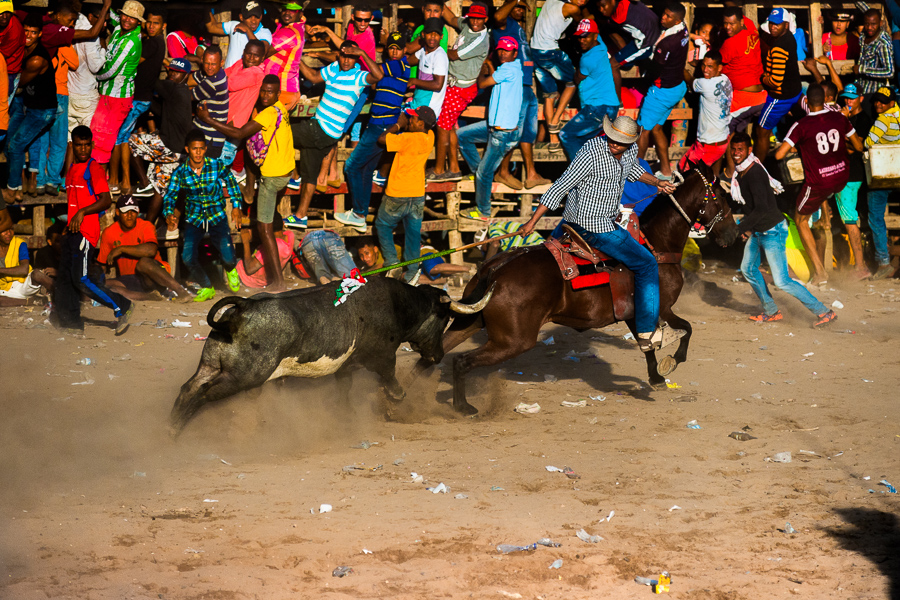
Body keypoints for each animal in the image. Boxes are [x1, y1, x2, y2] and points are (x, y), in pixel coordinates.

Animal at [169, 276, 492, 432]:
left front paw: (347, 416)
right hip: (244, 377)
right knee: (203, 393)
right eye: (444, 319)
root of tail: (244, 307)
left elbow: (345, 390)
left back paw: (171, 428)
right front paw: (393, 401)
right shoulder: (383, 356)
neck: (397, 304)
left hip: (211, 365)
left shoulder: (346, 367)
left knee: (188, 387)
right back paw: (178, 430)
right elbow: (391, 381)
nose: (438, 356)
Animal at [418, 166, 740, 414]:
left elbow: (646, 343)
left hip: (471, 321)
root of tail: (494, 268)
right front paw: (672, 361)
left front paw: (656, 377)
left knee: (431, 357)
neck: (656, 244)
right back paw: (463, 407)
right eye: (722, 198)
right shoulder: (661, 306)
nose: (733, 234)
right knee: (461, 362)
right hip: (512, 341)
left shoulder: (634, 313)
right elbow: (685, 330)